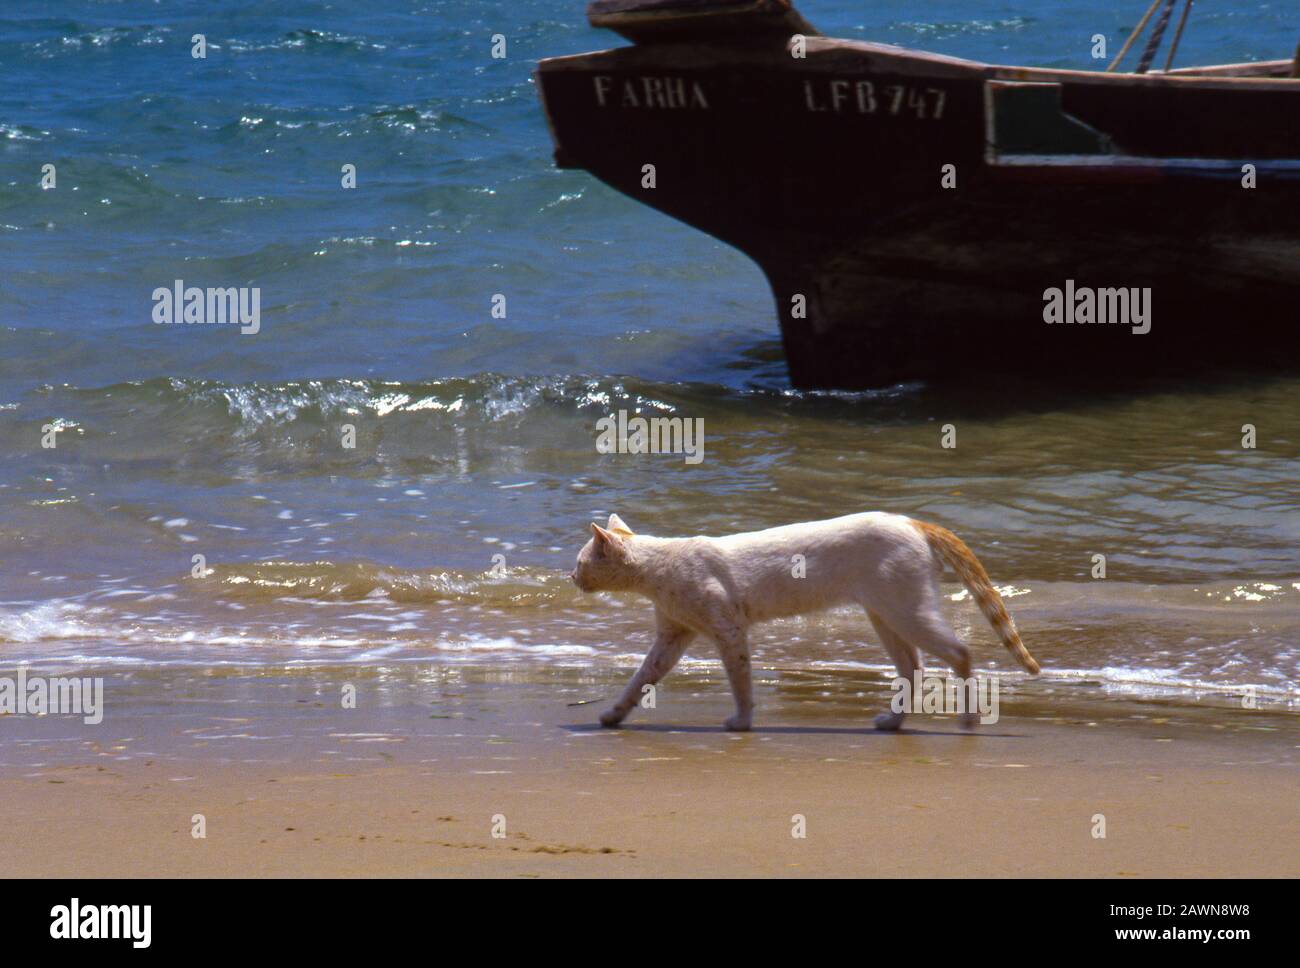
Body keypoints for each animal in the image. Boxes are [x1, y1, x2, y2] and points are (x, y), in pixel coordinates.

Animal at [574, 509, 1040, 727]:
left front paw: (742, 721)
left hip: (907, 610)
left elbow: (740, 681)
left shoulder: (728, 629)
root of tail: (910, 520)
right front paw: (613, 715)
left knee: (959, 653)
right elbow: (641, 678)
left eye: (579, 562)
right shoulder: (673, 635)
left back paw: (969, 720)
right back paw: (892, 722)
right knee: (913, 667)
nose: (571, 577)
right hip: (885, 614)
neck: (657, 567)